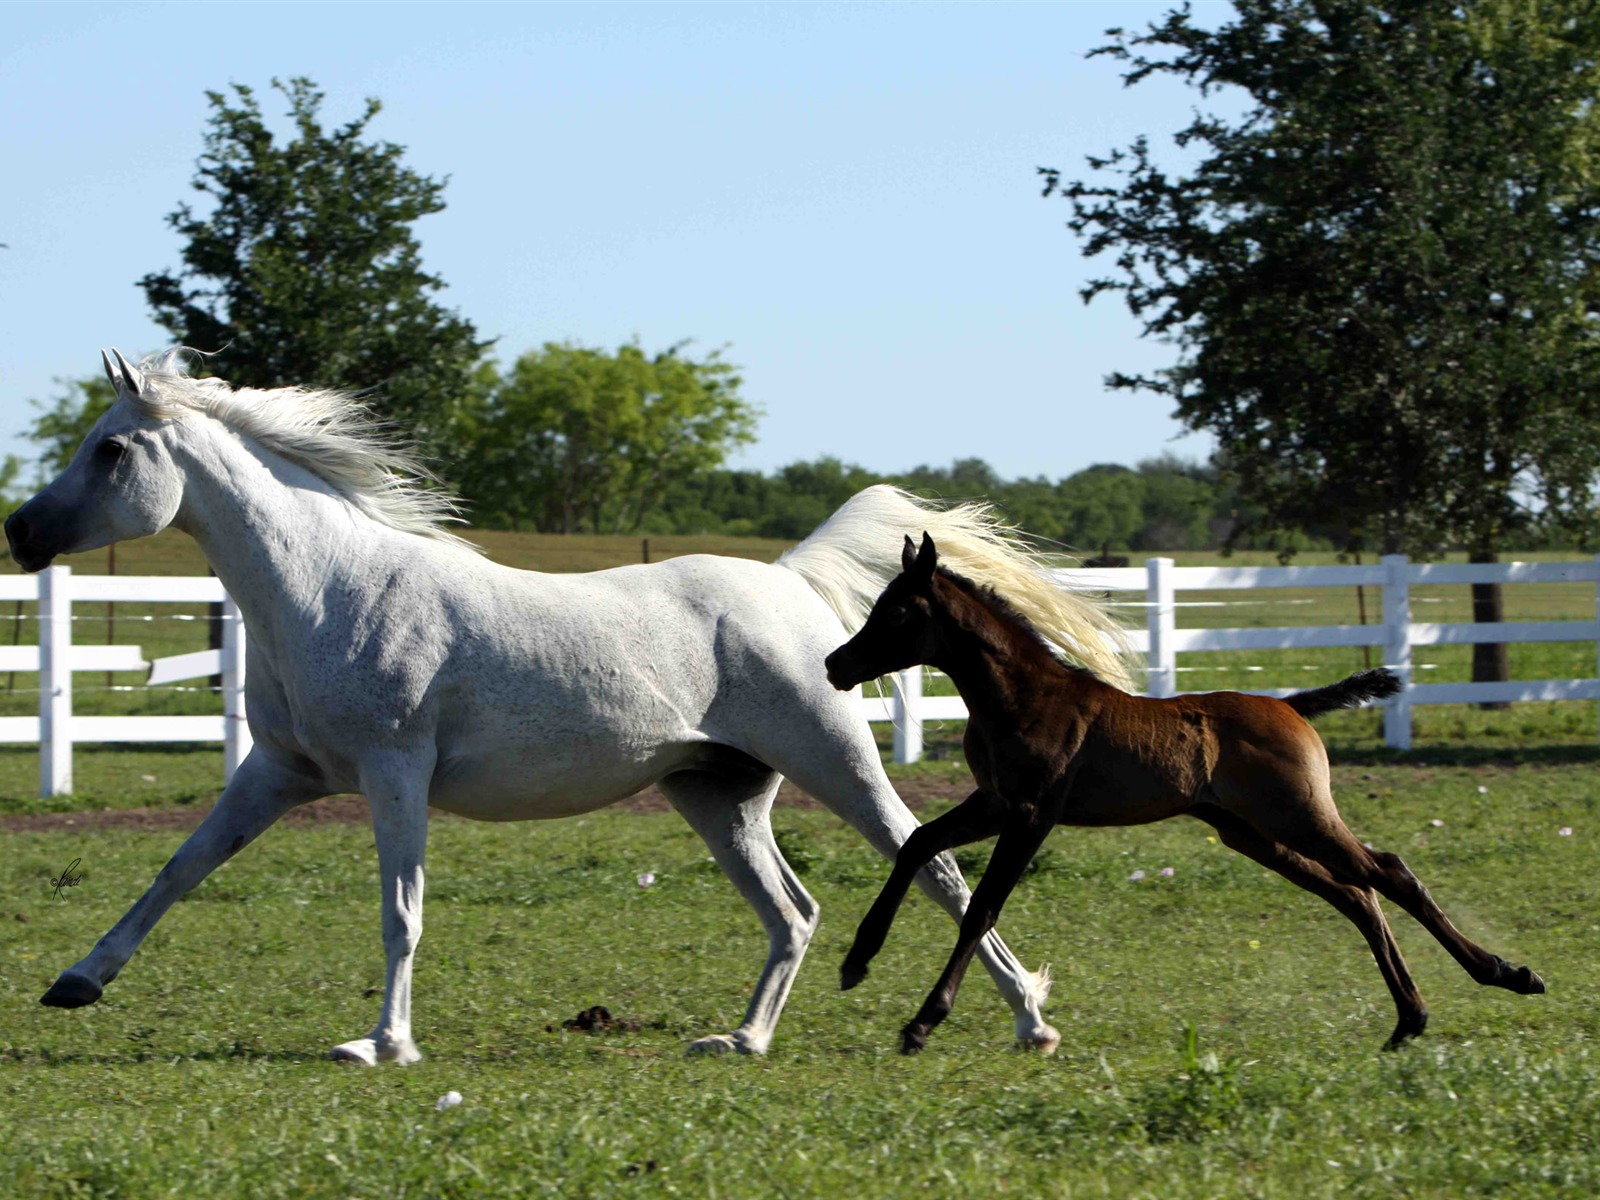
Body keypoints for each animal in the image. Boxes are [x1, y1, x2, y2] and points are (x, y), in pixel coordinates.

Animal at [12, 352, 1139, 1068]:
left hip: (834, 764)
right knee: (793, 912)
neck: (329, 590)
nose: (21, 534)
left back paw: (1030, 1024)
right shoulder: (280, 772)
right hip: (717, 795)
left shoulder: (392, 773)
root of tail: (787, 581)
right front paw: (76, 982)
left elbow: (400, 910)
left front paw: (381, 1044)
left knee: (938, 872)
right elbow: (178, 870)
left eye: (111, 450)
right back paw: (741, 1040)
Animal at [819, 534, 1542, 1049]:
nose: (835, 663)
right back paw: (1409, 1019)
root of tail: (1292, 706)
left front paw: (922, 1021)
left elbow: (982, 909)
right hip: (1256, 833)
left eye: (896, 610)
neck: (1022, 696)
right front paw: (857, 960)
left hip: (1297, 816)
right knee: (1355, 895)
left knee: (1389, 872)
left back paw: (1506, 974)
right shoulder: (993, 802)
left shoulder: (1031, 813)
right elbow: (918, 843)